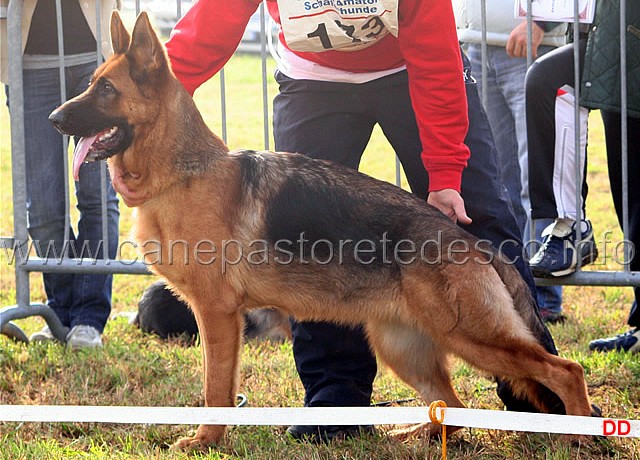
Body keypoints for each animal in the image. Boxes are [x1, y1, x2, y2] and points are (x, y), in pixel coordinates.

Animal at [50, 10, 596, 450]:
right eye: (93, 82)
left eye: (105, 90)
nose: (55, 119)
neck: (183, 171)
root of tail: (473, 243)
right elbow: (219, 386)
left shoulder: (218, 315)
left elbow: (214, 388)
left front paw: (207, 440)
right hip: (404, 347)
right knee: (454, 409)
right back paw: (414, 433)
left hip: (472, 336)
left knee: (565, 370)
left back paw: (581, 434)